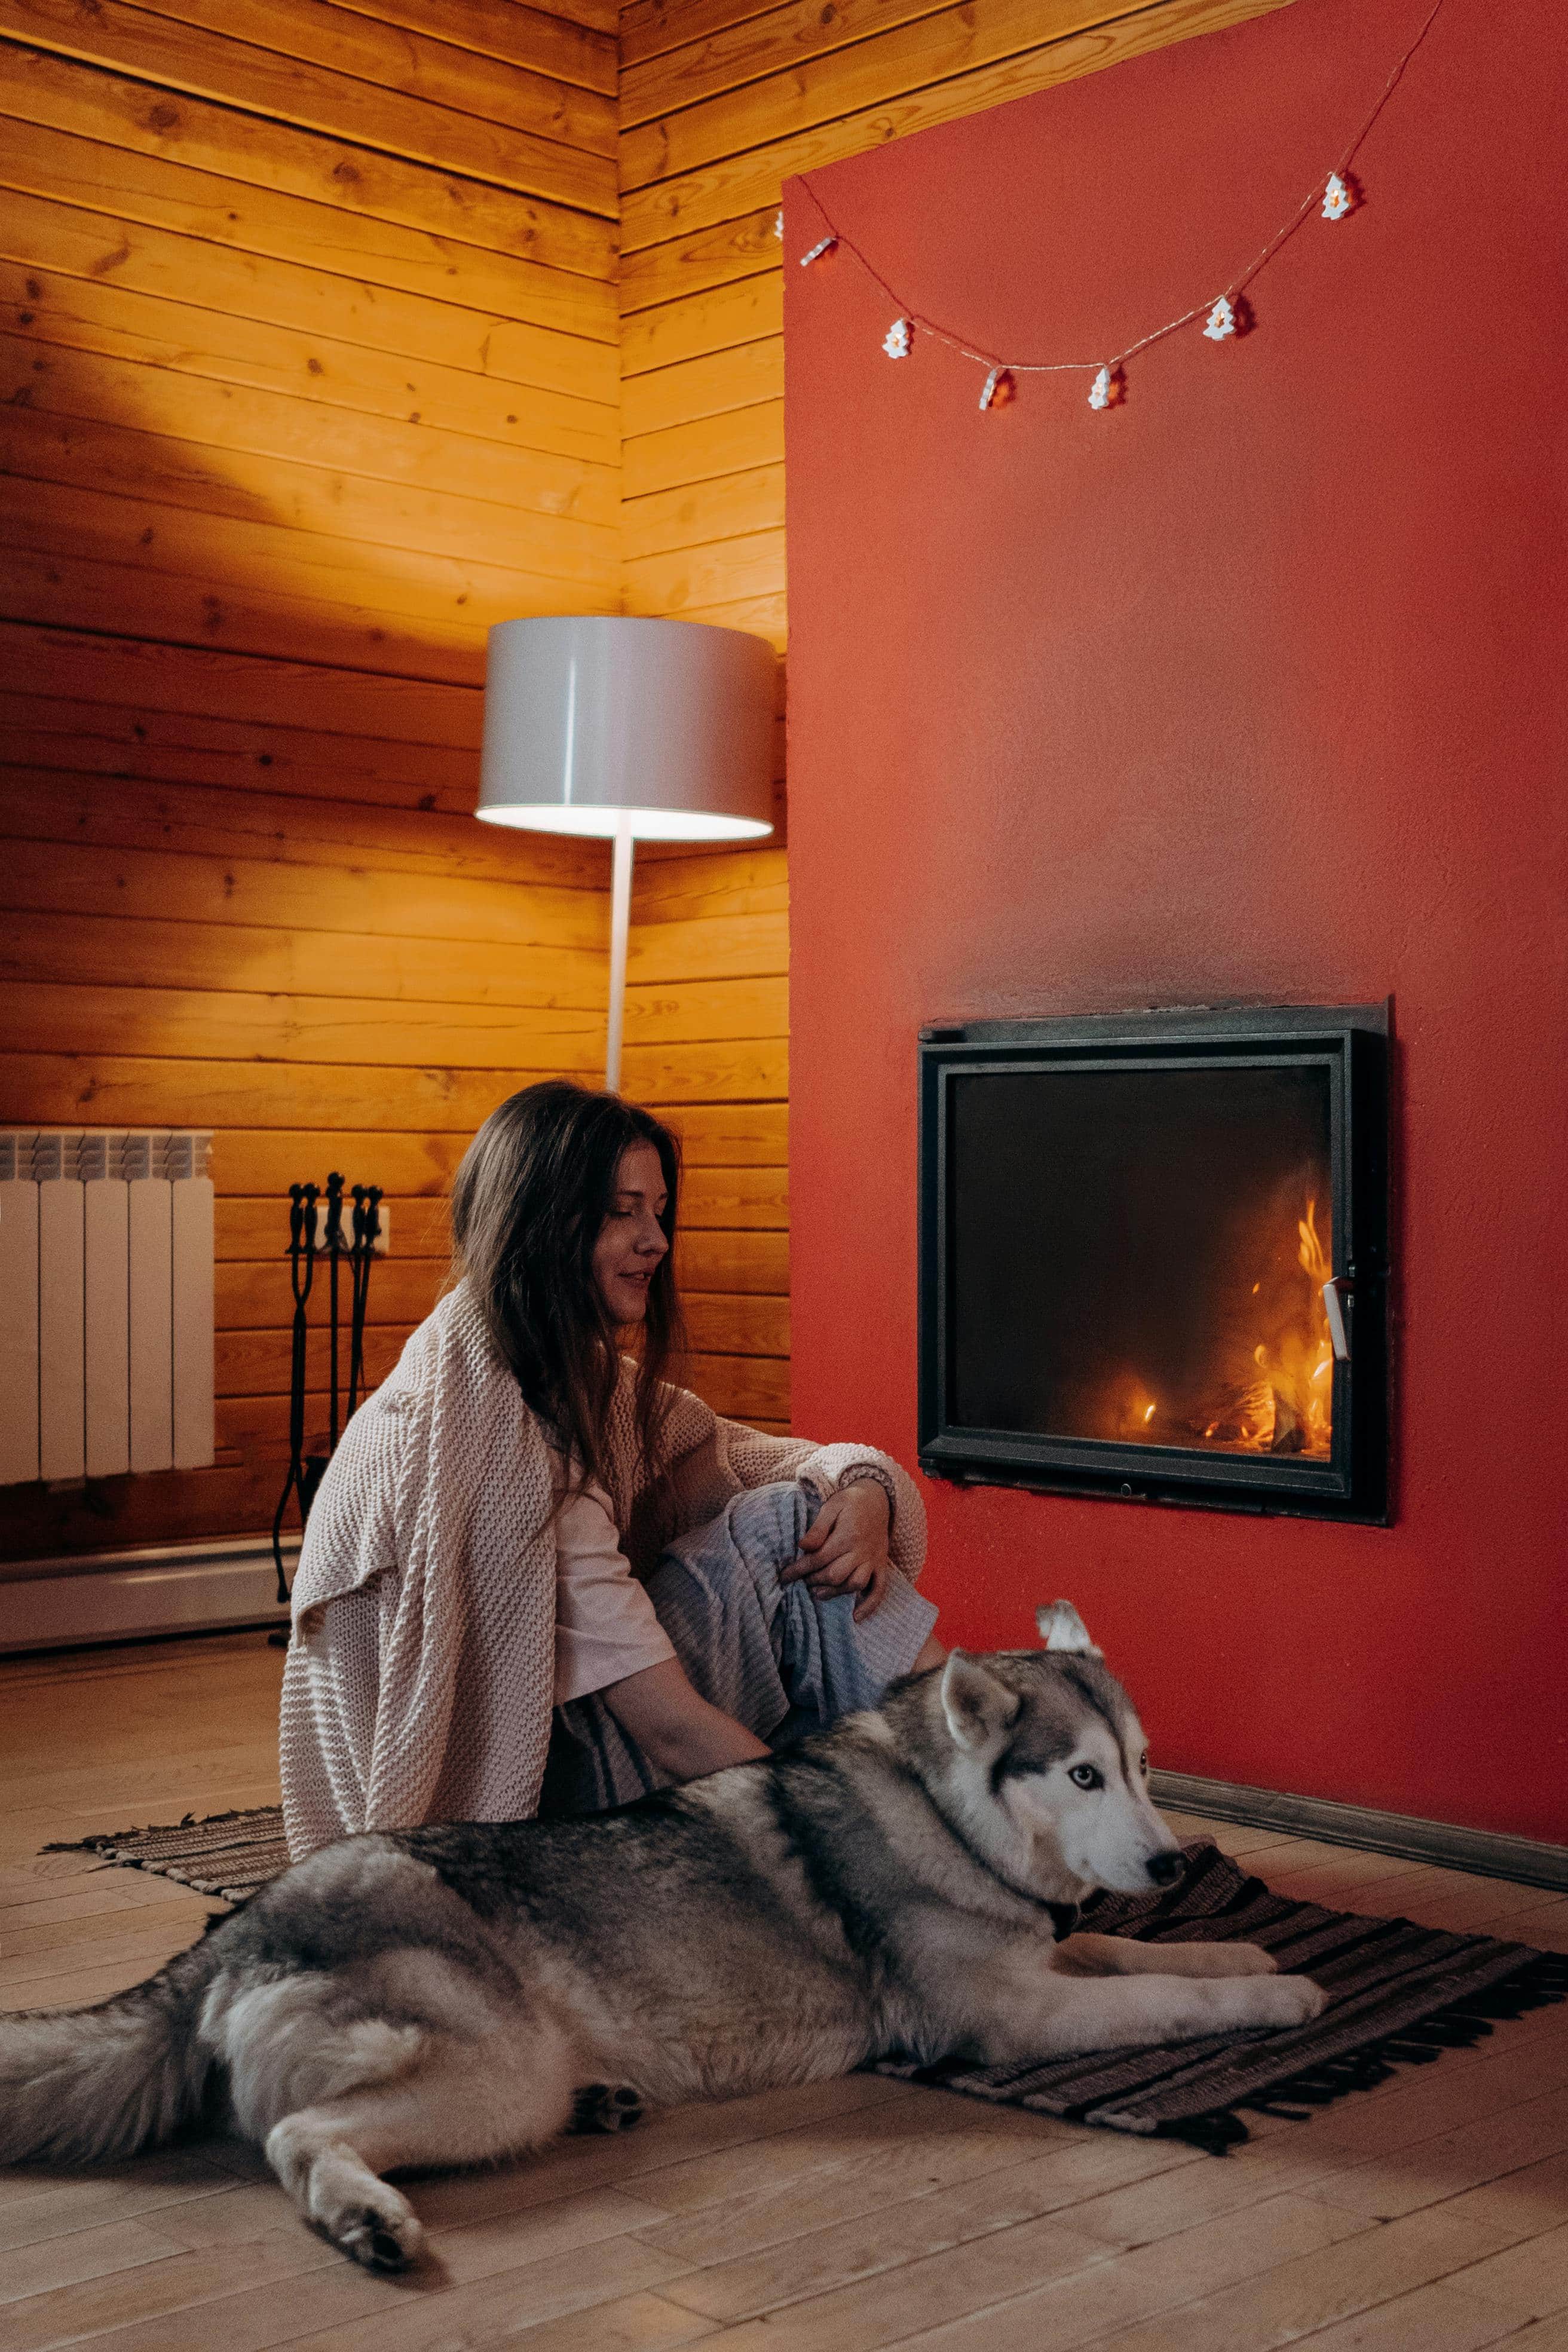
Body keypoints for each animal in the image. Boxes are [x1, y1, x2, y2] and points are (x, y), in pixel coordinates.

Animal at [0, 1609, 1325, 2267]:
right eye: (1082, 1774)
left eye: (1144, 1768)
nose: (1169, 1863)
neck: (942, 1811)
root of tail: (232, 1931)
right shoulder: (1014, 2016)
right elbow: (1163, 2001)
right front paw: (1284, 1999)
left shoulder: (1042, 1960)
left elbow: (1150, 1960)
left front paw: (1245, 1952)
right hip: (494, 2070)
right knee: (296, 2134)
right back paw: (364, 2220)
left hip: (501, 2080)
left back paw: (596, 2104)